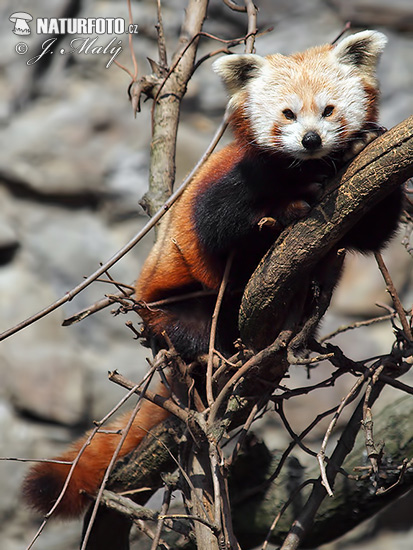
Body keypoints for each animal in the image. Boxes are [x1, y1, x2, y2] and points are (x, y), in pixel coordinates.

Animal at [23, 30, 402, 520]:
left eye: (329, 110)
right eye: (288, 114)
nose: (311, 139)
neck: (306, 167)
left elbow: (374, 232)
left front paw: (359, 144)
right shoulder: (233, 180)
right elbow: (223, 224)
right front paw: (291, 207)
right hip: (176, 306)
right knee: (199, 331)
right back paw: (218, 358)